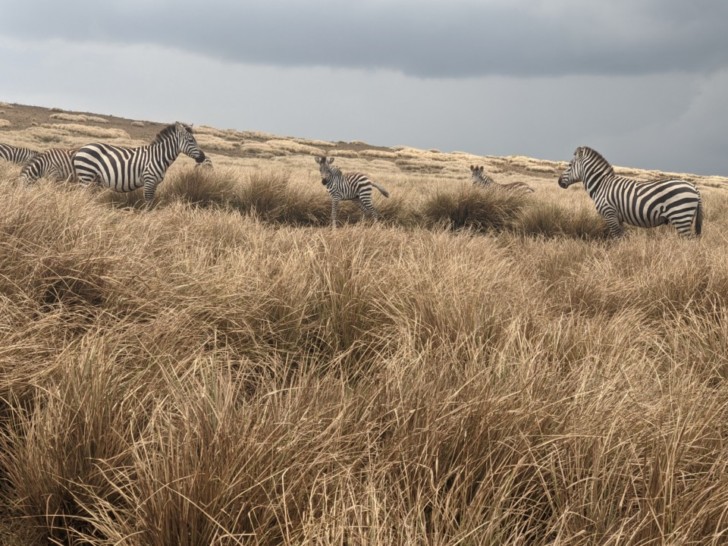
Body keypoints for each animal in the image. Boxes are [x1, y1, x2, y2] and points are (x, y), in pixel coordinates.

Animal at [72, 121, 205, 202]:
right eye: (191, 140)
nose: (203, 157)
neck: (158, 156)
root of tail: (80, 149)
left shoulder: (155, 183)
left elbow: (152, 202)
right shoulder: (149, 181)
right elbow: (148, 203)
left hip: (94, 179)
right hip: (86, 176)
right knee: (82, 197)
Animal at [556, 146, 704, 237]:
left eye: (569, 165)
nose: (559, 182)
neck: (601, 185)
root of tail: (694, 187)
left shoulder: (609, 214)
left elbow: (617, 238)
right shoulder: (618, 217)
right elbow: (622, 237)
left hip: (680, 215)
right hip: (684, 217)